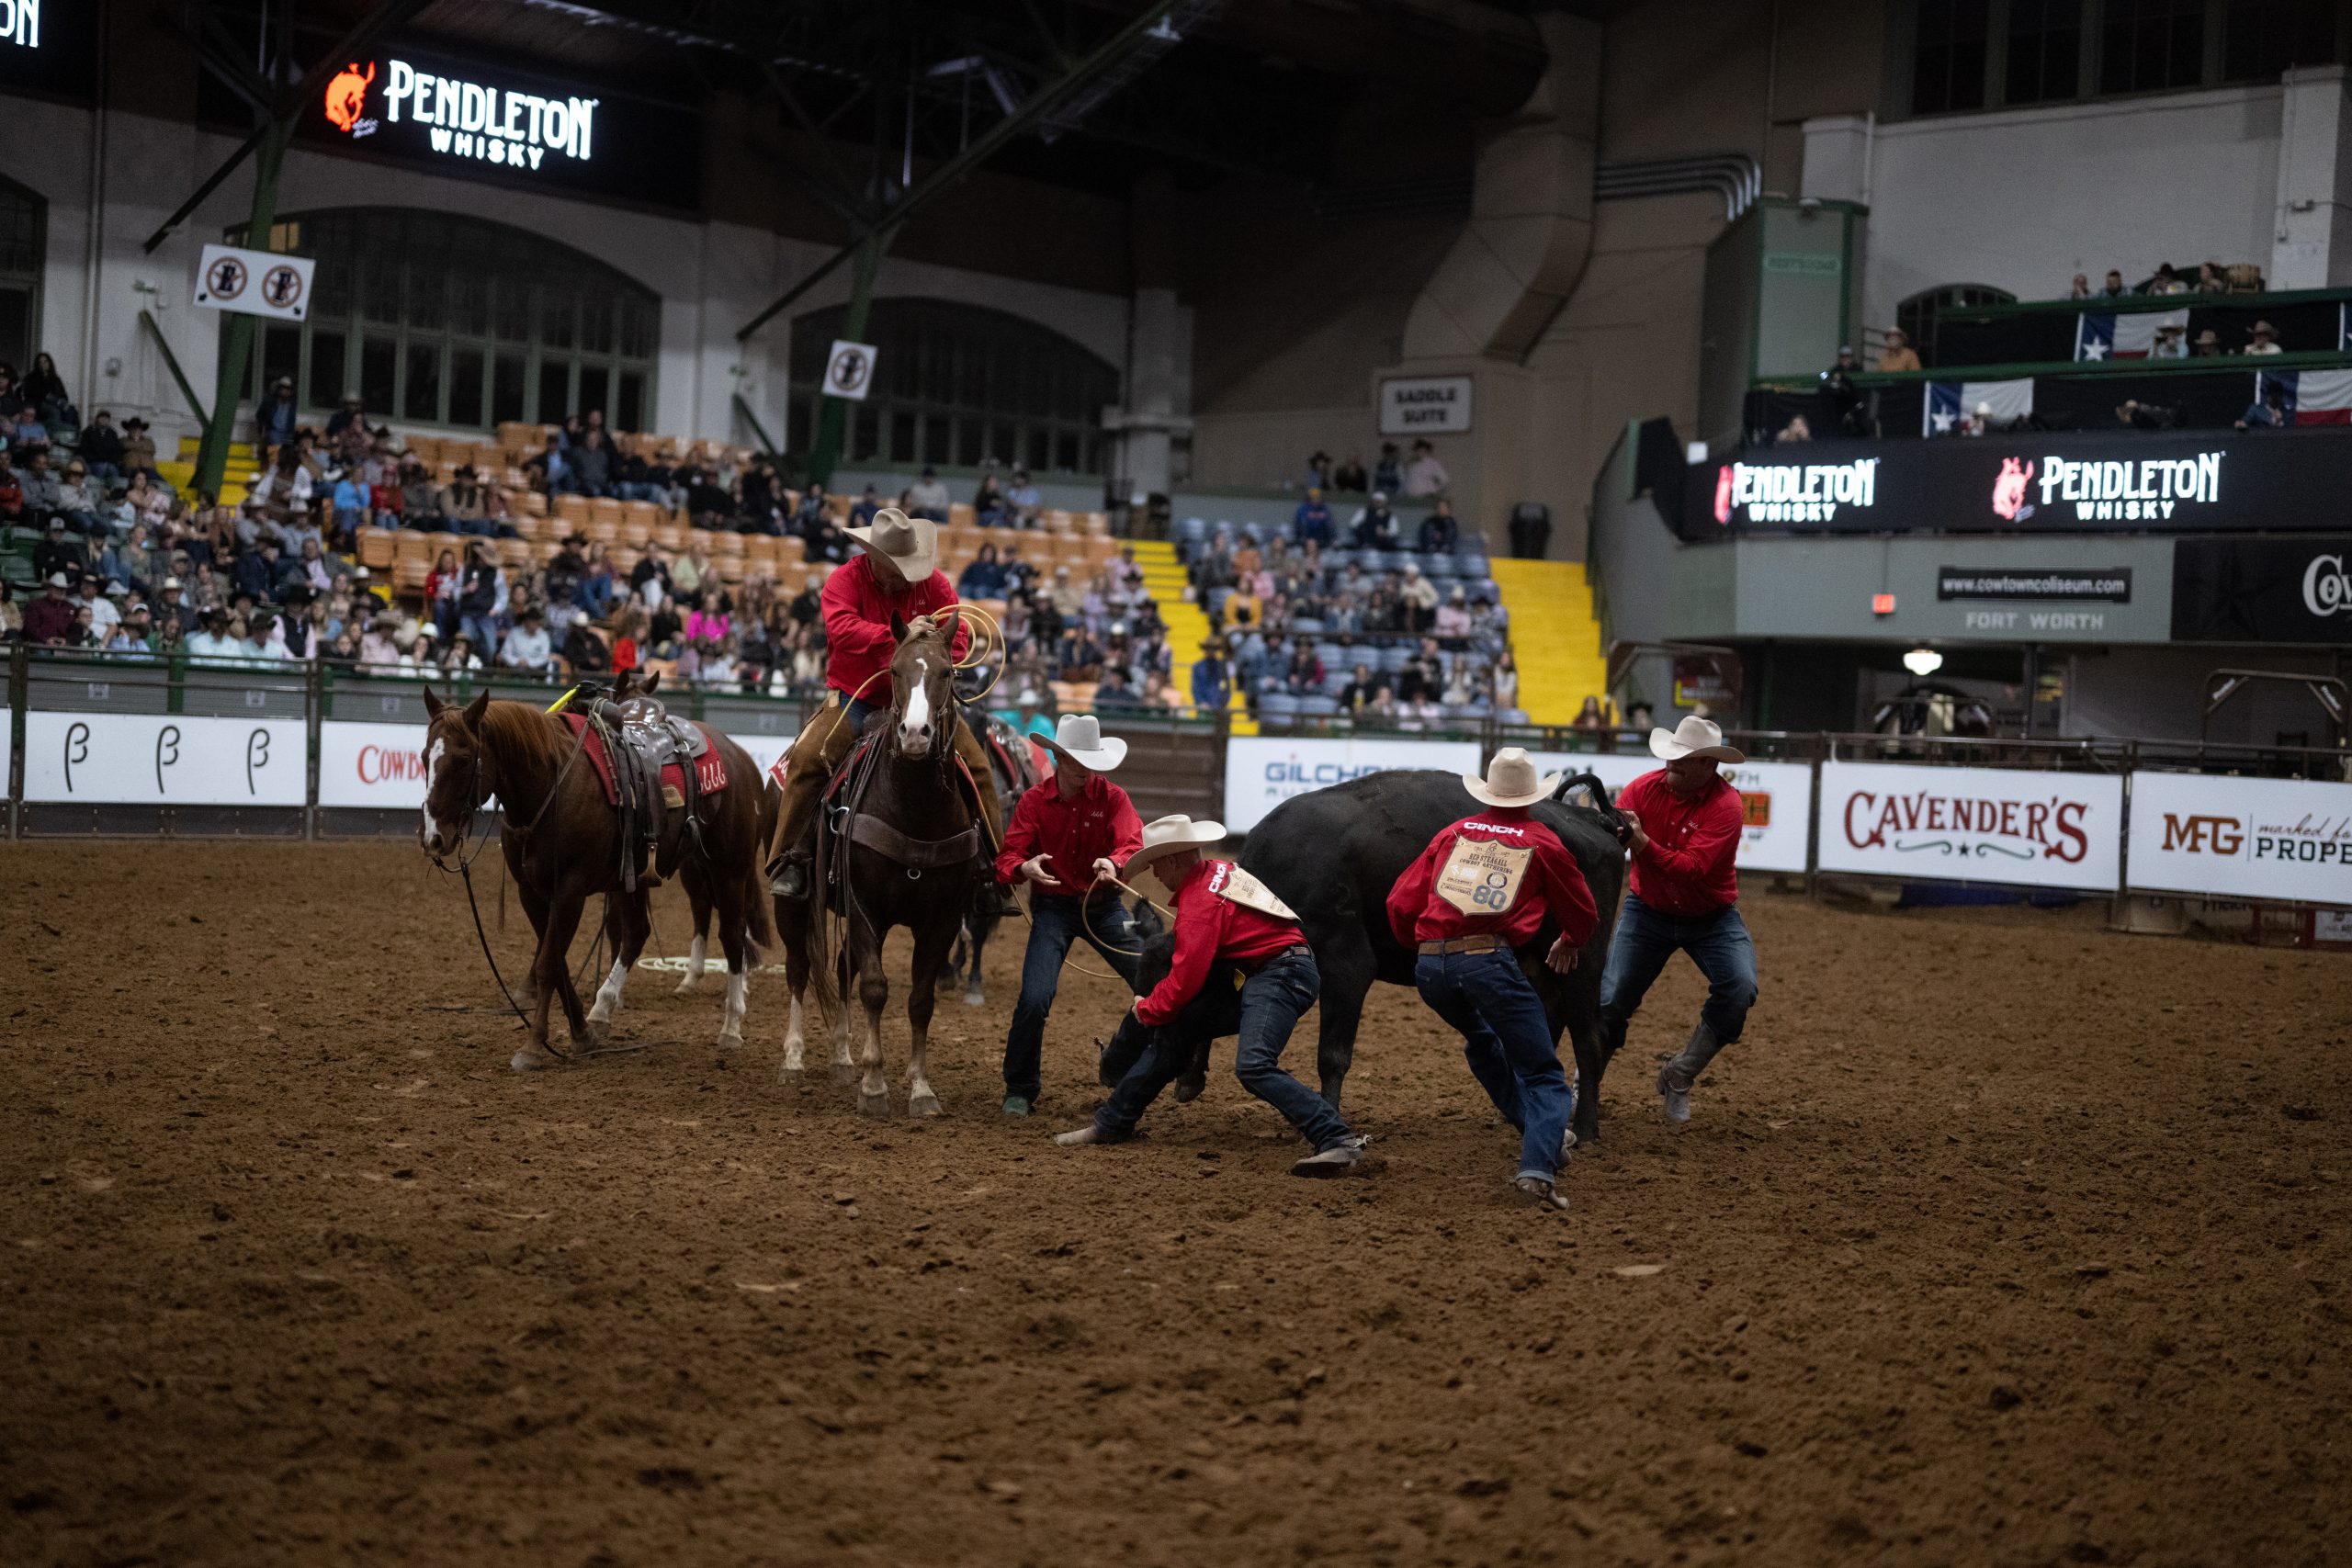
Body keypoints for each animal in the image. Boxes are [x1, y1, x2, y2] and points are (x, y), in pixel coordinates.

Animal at [409, 686, 766, 1066]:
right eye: (424, 756)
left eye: (463, 760)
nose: (432, 837)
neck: (549, 787)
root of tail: (738, 754)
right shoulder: (530, 892)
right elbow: (557, 962)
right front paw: (582, 1034)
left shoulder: (570, 890)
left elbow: (549, 963)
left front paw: (533, 1046)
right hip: (637, 879)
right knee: (637, 933)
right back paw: (602, 1008)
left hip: (730, 869)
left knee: (731, 936)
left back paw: (731, 1027)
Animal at [780, 611, 983, 1114]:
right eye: (894, 670)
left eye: (948, 673)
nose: (914, 734)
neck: (915, 808)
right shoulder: (865, 908)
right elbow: (874, 987)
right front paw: (874, 1086)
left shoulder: (942, 919)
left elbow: (920, 1000)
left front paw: (921, 1087)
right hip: (791, 904)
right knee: (799, 969)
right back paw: (793, 1059)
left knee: (840, 967)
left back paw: (841, 1056)